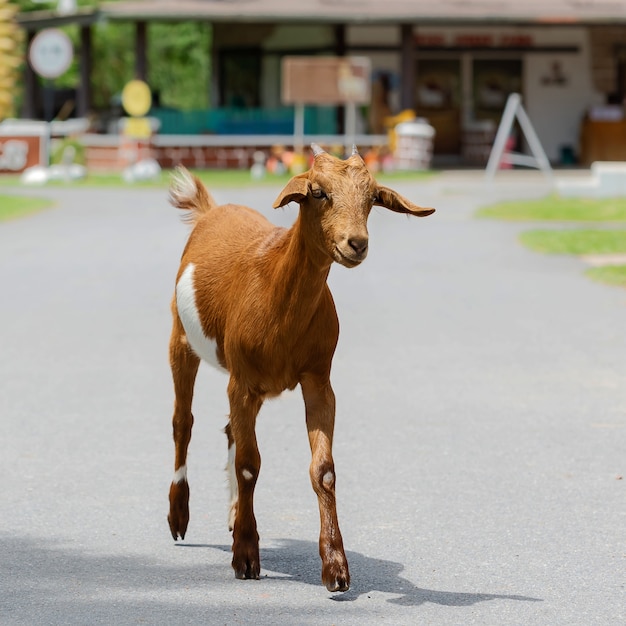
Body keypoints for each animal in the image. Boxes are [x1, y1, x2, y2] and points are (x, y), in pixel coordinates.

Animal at [166, 146, 434, 588]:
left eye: (372, 198)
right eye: (318, 193)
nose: (356, 243)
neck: (275, 290)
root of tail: (213, 210)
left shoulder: (318, 378)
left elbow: (323, 469)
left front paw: (336, 566)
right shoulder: (242, 380)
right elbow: (248, 465)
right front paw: (245, 557)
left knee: (229, 429)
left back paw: (232, 514)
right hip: (181, 340)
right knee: (182, 422)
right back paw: (178, 515)